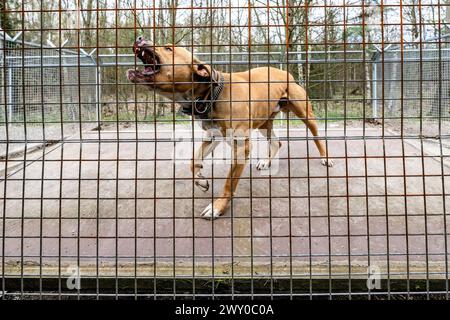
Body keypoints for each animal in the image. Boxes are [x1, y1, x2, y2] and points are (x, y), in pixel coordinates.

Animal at [127, 36, 334, 219]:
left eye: (168, 48)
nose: (139, 38)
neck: (211, 94)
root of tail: (286, 73)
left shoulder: (241, 147)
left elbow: (228, 183)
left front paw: (217, 207)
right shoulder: (213, 136)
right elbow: (194, 160)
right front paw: (200, 180)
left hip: (305, 113)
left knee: (317, 136)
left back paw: (326, 158)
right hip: (263, 123)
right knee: (277, 143)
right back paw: (266, 162)